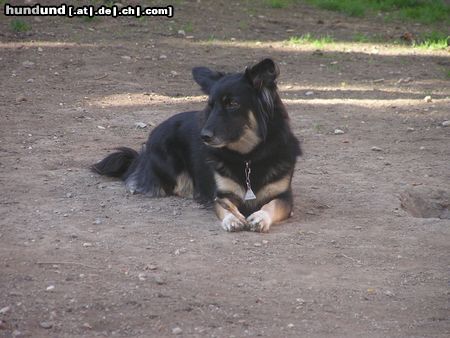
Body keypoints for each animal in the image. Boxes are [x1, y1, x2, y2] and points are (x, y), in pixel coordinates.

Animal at [92, 58, 302, 232]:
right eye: (211, 105)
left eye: (232, 104)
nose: (204, 136)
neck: (248, 157)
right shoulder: (221, 193)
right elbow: (224, 206)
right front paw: (232, 218)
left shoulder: (285, 196)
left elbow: (271, 205)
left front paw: (260, 217)